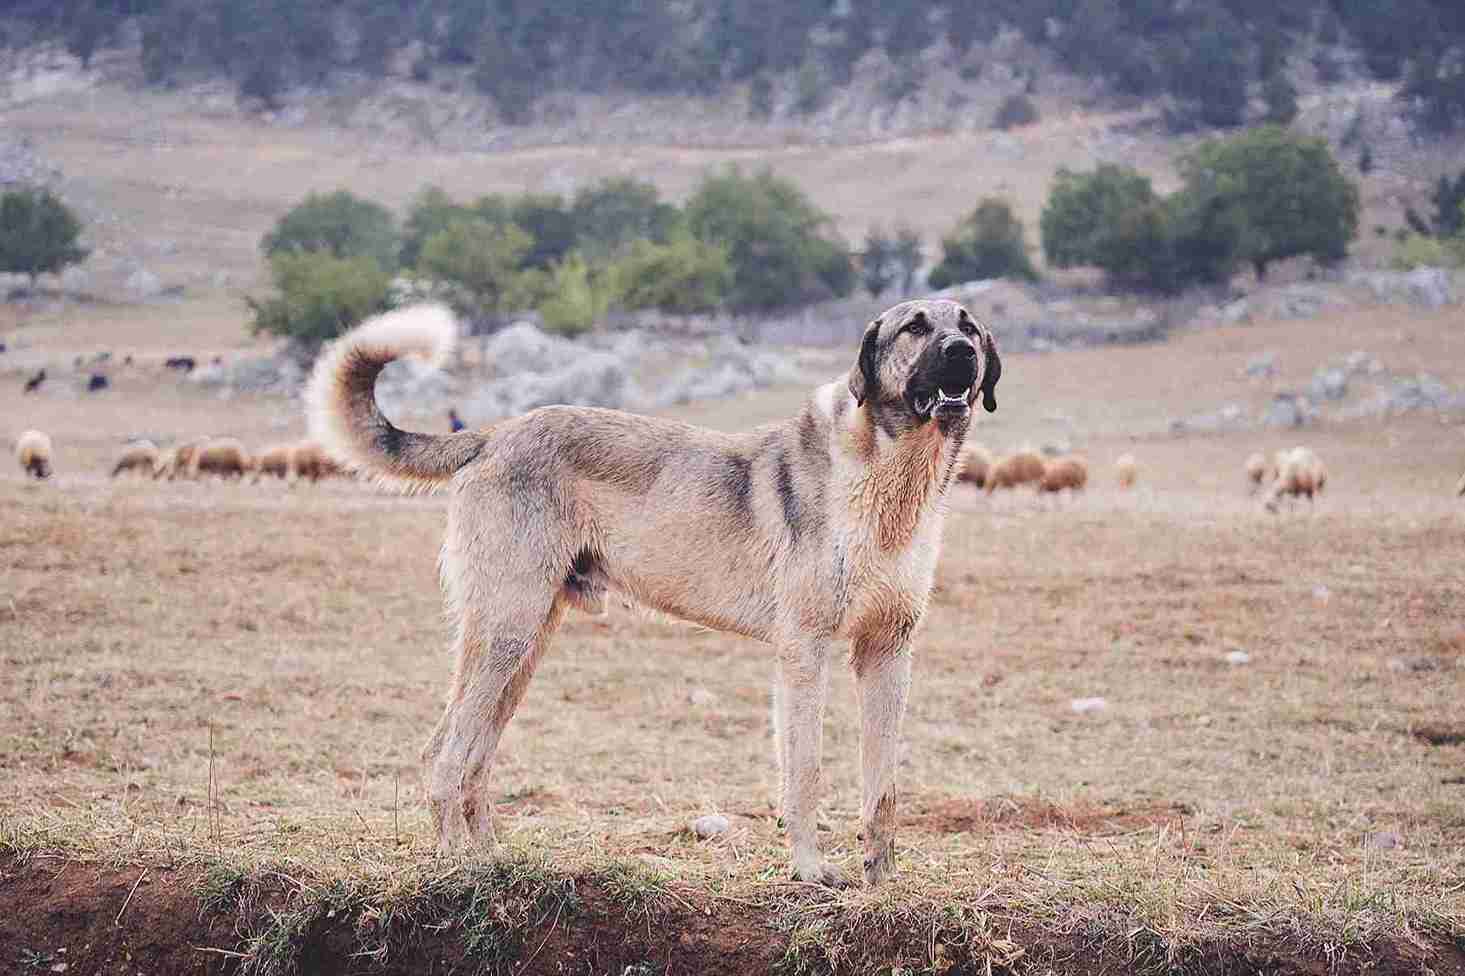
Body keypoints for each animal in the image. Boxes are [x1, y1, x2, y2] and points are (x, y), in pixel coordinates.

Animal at [304, 300, 1002, 885]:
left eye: (968, 326)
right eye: (915, 327)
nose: (961, 354)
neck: (891, 479)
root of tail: (497, 432)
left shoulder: (888, 654)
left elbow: (883, 786)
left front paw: (883, 880)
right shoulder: (805, 652)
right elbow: (804, 772)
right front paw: (809, 871)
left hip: (526, 646)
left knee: (473, 757)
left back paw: (491, 858)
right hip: (506, 632)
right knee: (445, 754)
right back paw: (460, 866)